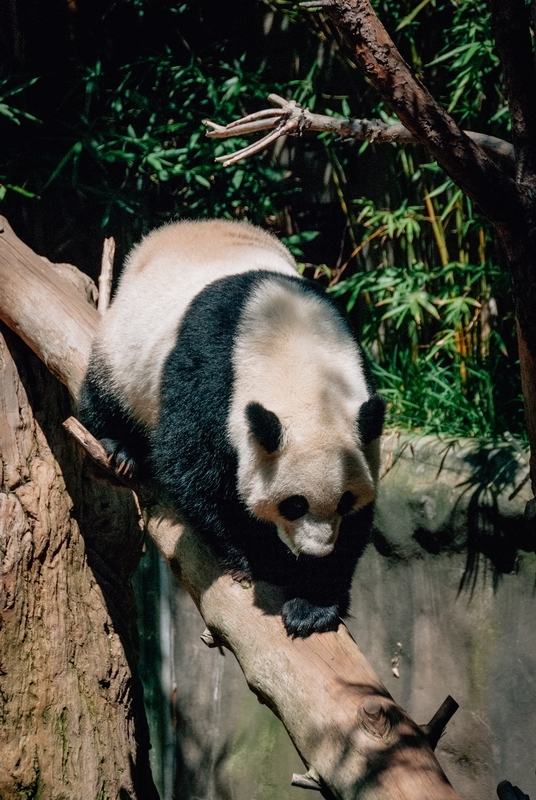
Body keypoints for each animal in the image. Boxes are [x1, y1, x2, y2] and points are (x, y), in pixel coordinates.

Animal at [77, 219, 384, 636]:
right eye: (294, 504)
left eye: (345, 500)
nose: (316, 548)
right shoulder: (212, 374)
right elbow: (194, 468)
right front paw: (263, 558)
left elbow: (358, 523)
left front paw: (313, 602)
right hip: (127, 343)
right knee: (107, 392)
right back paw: (117, 446)